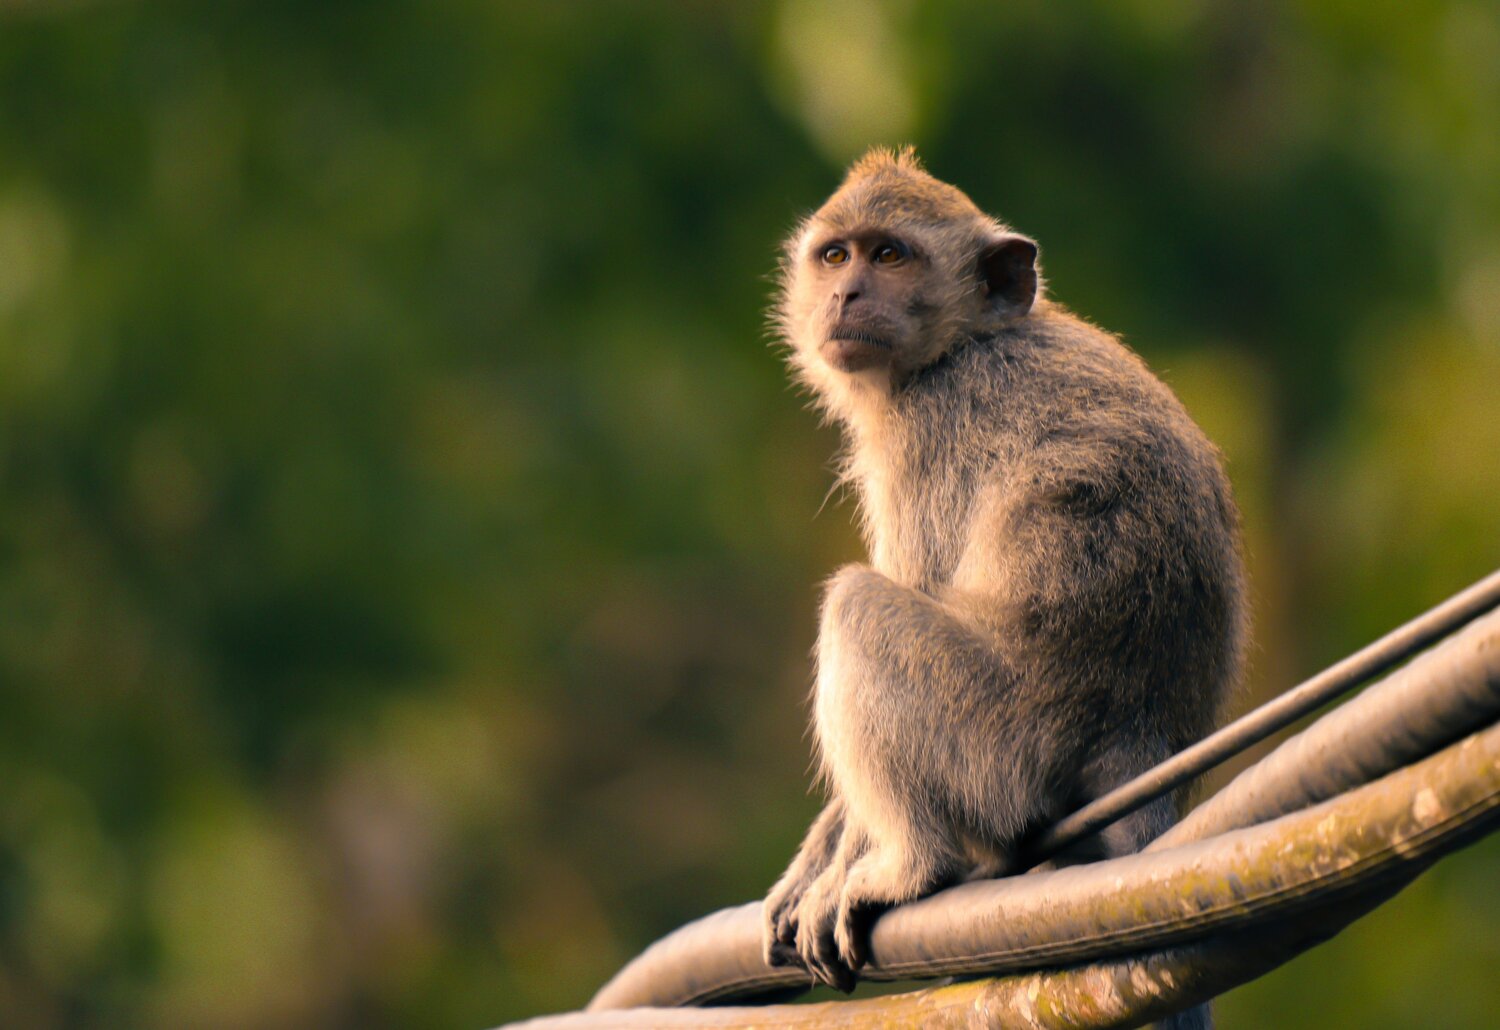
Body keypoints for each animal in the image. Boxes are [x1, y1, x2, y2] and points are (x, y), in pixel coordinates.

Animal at [760, 147, 1247, 1027]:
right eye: (836, 256)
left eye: (891, 256)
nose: (847, 296)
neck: (965, 341)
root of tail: (1140, 727)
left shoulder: (926, 433)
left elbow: (911, 579)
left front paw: (836, 855)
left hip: (998, 740)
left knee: (857, 608)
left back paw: (912, 864)